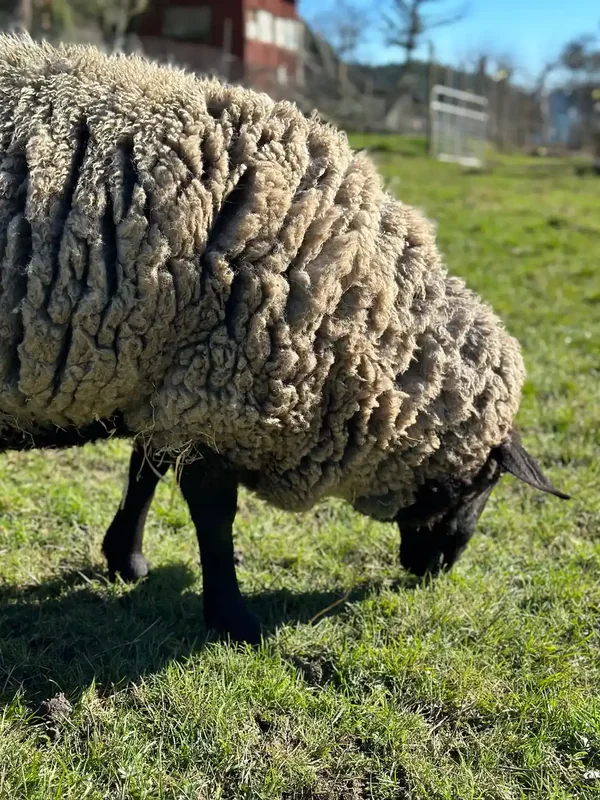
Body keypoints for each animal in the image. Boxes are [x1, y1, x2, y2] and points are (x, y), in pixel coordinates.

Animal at [0, 35, 569, 644]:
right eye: (483, 481)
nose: (440, 567)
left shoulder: (175, 376)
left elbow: (144, 470)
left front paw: (126, 559)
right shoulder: (221, 384)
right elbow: (212, 510)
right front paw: (235, 618)